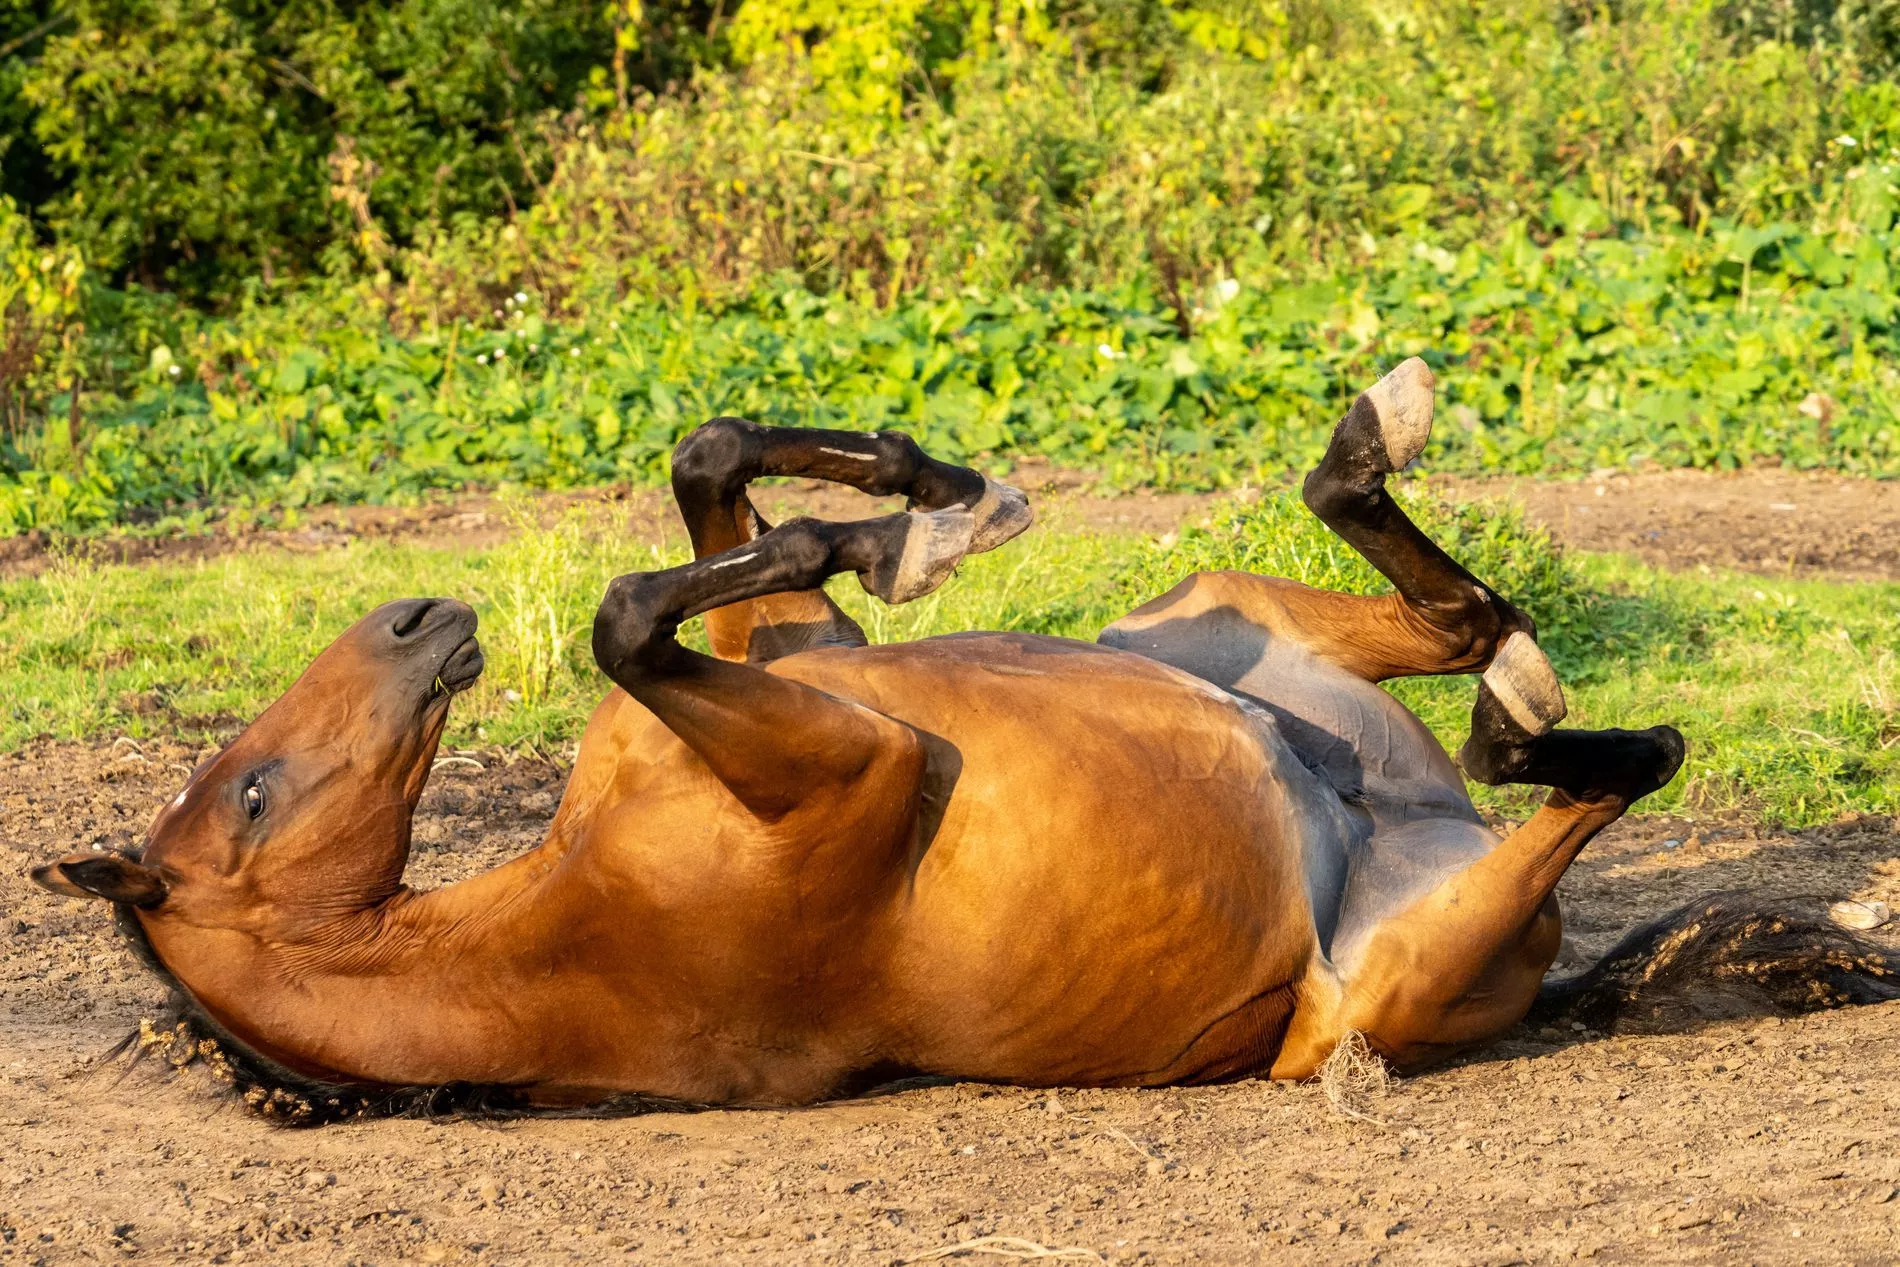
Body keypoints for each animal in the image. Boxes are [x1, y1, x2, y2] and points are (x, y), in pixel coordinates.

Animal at [32, 358, 1900, 1121]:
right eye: (253, 791)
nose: (419, 620)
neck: (546, 936)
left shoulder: (810, 681)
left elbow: (706, 463)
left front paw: (926, 501)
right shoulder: (855, 766)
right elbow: (633, 609)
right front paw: (877, 523)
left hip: (1212, 615)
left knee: (1427, 597)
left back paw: (1388, 454)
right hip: (1399, 968)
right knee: (1576, 758)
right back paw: (1525, 695)